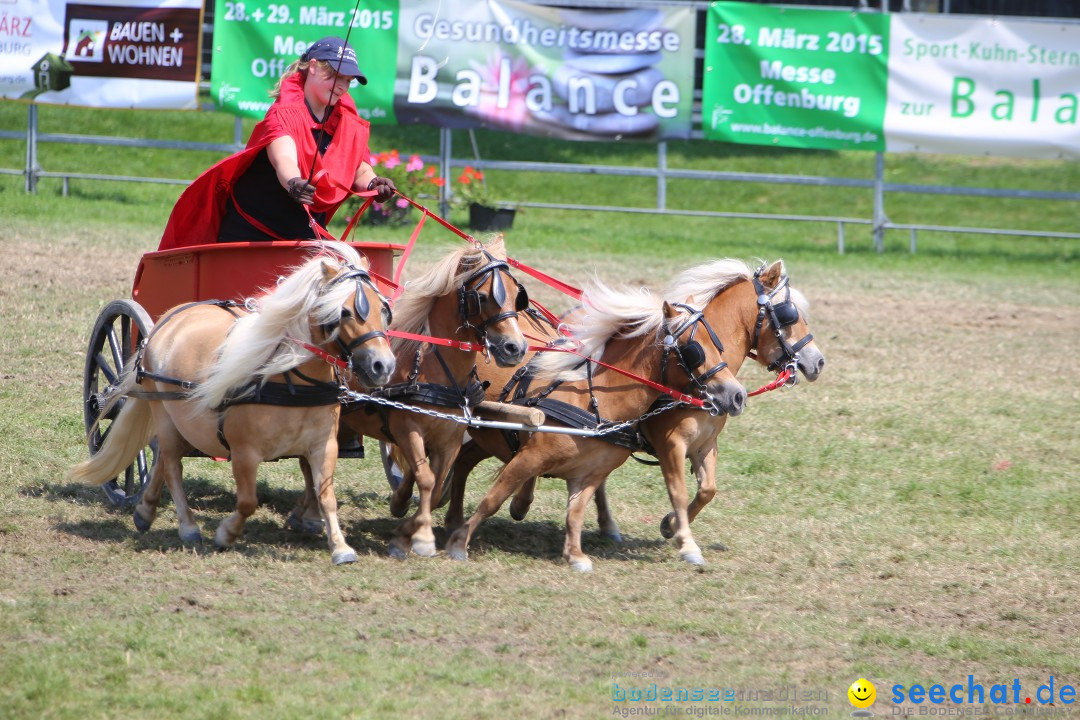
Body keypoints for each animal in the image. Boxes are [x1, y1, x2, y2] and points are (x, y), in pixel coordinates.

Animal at [67, 245, 397, 565]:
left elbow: (326, 495)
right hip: (162, 410)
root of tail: (172, 315)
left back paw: (145, 511)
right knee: (171, 463)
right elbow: (248, 502)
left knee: (166, 458)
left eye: (384, 310)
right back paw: (187, 526)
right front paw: (226, 534)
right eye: (344, 311)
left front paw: (340, 547)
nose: (384, 366)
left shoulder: (323, 446)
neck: (290, 379)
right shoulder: (244, 452)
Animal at [285, 239, 524, 561]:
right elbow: (426, 478)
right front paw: (420, 538)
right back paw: (310, 514)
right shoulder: (407, 428)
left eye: (516, 295)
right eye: (483, 297)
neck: (435, 367)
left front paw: (403, 528)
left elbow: (435, 484)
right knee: (308, 462)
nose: (516, 347)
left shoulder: (450, 439)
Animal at [438, 273, 751, 569]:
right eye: (695, 349)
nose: (736, 395)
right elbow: (493, 498)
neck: (595, 398)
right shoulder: (529, 458)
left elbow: (575, 513)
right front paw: (459, 544)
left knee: (463, 460)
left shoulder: (591, 472)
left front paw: (575, 555)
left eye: (719, 345)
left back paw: (452, 518)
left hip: (489, 436)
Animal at [501, 259, 820, 569]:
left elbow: (708, 490)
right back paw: (522, 502)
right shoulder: (671, 444)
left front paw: (670, 524)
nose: (817, 361)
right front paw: (687, 544)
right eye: (789, 314)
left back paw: (603, 525)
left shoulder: (705, 443)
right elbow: (678, 491)